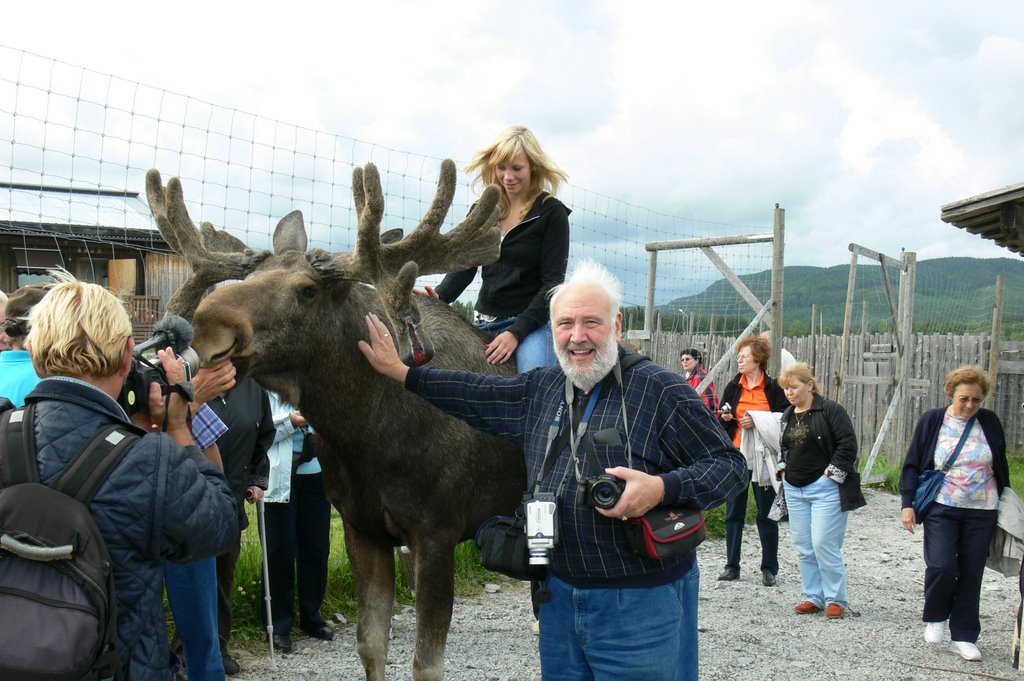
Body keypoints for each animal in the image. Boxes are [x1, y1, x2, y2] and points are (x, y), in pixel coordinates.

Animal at [148, 164, 532, 679]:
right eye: (253, 275)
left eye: (307, 290)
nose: (208, 326)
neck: (364, 432)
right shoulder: (361, 528)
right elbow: (370, 645)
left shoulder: (437, 532)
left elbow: (426, 663)